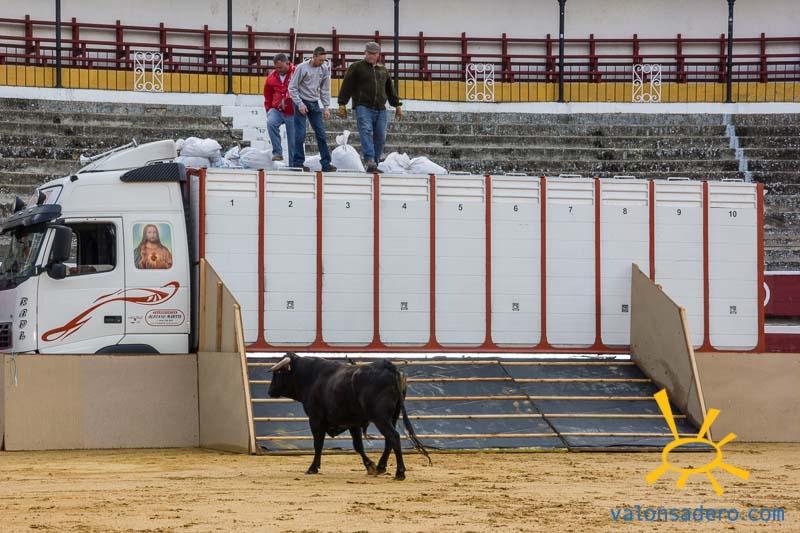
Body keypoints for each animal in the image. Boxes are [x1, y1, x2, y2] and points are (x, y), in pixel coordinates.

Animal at [268, 353, 431, 480]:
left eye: (278, 373)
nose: (269, 391)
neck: (311, 377)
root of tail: (388, 366)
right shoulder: (353, 423)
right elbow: (358, 446)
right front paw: (370, 466)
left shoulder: (315, 420)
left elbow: (318, 444)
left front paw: (313, 467)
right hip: (393, 417)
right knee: (389, 440)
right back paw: (381, 467)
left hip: (381, 418)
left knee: (394, 437)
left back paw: (400, 473)